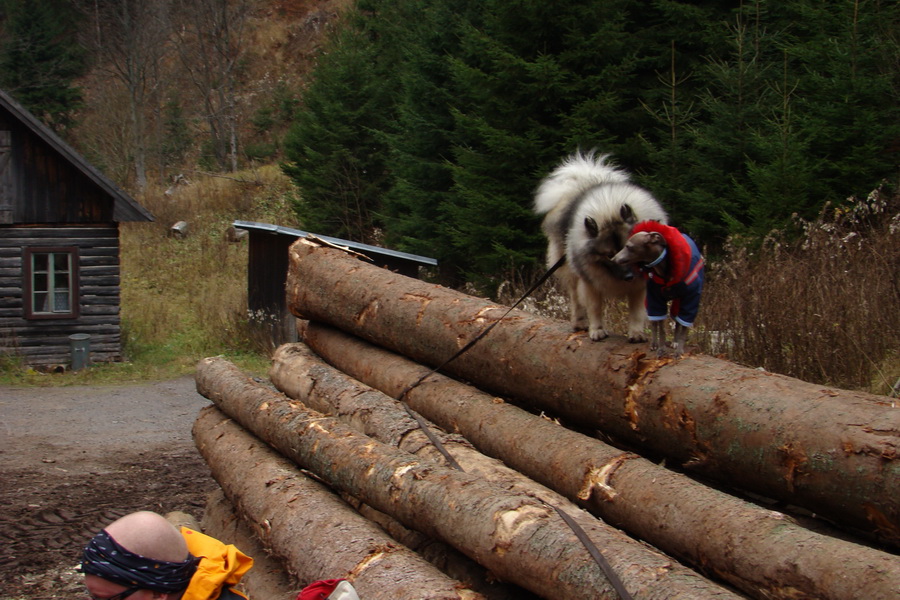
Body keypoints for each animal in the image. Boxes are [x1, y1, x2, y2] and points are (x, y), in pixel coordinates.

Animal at [536, 150, 668, 342]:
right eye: (609, 255)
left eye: (631, 249)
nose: (629, 276)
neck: (609, 212)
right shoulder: (590, 283)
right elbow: (595, 308)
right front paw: (597, 330)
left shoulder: (640, 286)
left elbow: (636, 311)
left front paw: (636, 333)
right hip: (570, 271)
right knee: (576, 299)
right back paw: (580, 323)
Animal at [616, 224, 708, 356]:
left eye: (629, 246)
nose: (613, 258)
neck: (665, 270)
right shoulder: (656, 300)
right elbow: (661, 328)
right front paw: (661, 348)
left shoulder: (690, 300)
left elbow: (683, 327)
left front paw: (679, 350)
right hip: (651, 302)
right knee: (655, 324)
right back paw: (655, 344)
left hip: (677, 302)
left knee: (677, 322)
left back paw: (675, 342)